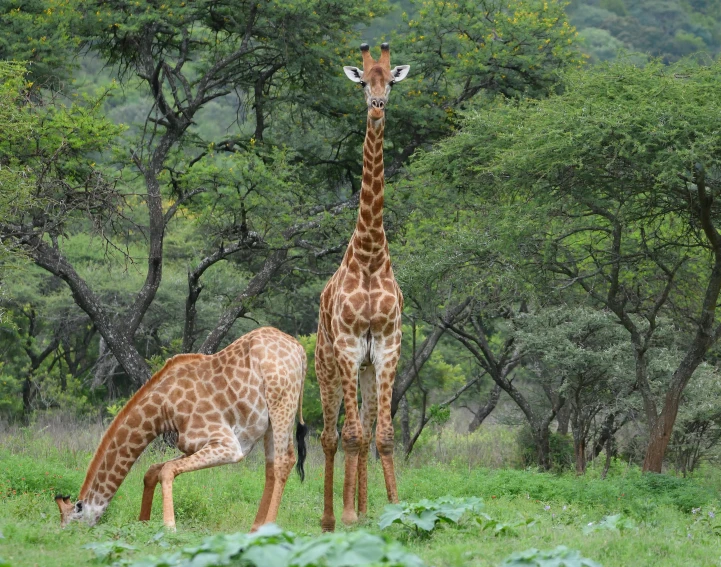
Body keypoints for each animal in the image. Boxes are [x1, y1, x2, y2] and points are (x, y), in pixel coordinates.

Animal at [54, 328, 306, 532]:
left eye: (70, 524)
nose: (65, 538)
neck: (163, 409)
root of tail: (300, 349)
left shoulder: (228, 445)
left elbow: (166, 470)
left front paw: (169, 527)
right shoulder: (191, 445)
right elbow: (153, 470)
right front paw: (143, 523)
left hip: (282, 402)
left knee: (284, 461)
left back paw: (268, 528)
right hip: (270, 420)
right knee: (272, 466)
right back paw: (255, 529)